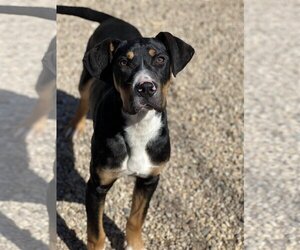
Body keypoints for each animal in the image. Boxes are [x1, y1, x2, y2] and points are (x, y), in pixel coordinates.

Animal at [57, 5, 196, 250]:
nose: (146, 88)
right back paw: (75, 126)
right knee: (84, 97)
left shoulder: (149, 179)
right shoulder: (97, 185)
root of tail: (114, 20)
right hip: (86, 77)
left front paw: (134, 244)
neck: (139, 126)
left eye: (160, 59)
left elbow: (136, 218)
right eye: (123, 62)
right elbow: (96, 233)